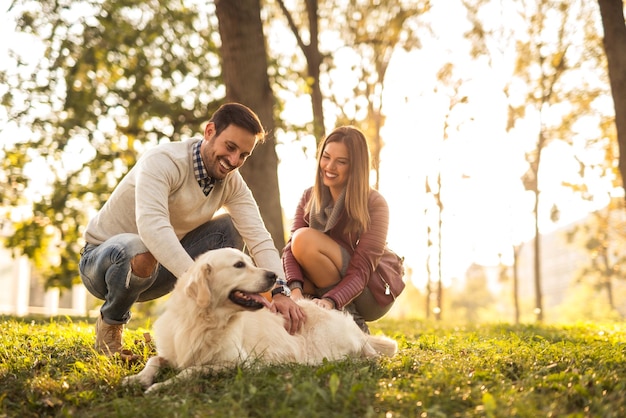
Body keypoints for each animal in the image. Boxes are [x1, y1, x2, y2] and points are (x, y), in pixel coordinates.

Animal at [122, 248, 394, 392]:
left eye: (251, 262)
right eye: (239, 265)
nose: (273, 275)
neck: (203, 321)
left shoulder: (238, 363)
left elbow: (192, 370)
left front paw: (159, 386)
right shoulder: (173, 350)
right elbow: (154, 360)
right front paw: (137, 378)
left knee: (364, 353)